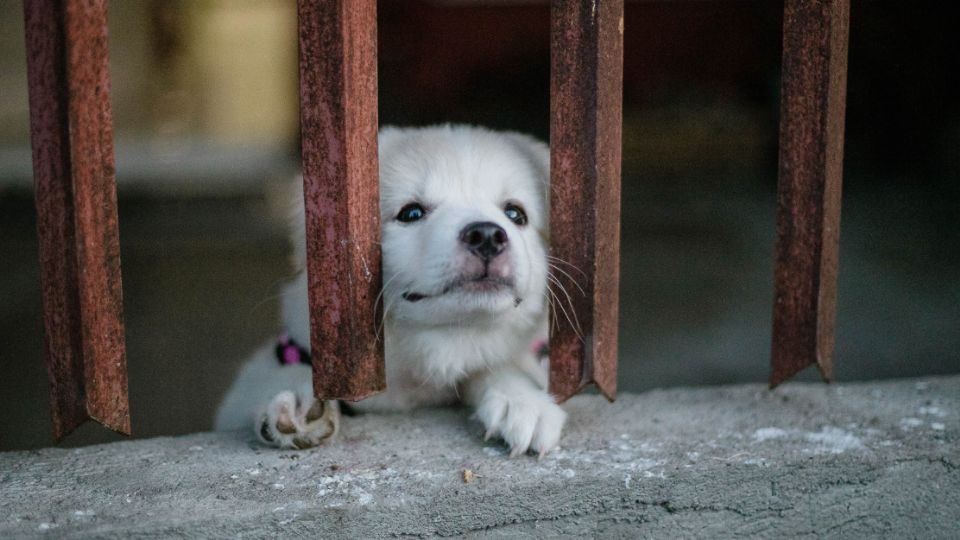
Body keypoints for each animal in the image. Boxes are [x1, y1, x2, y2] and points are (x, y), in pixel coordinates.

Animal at [214, 125, 568, 456]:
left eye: (515, 214)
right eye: (411, 213)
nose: (487, 236)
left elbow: (496, 366)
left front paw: (521, 401)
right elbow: (273, 375)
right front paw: (300, 401)